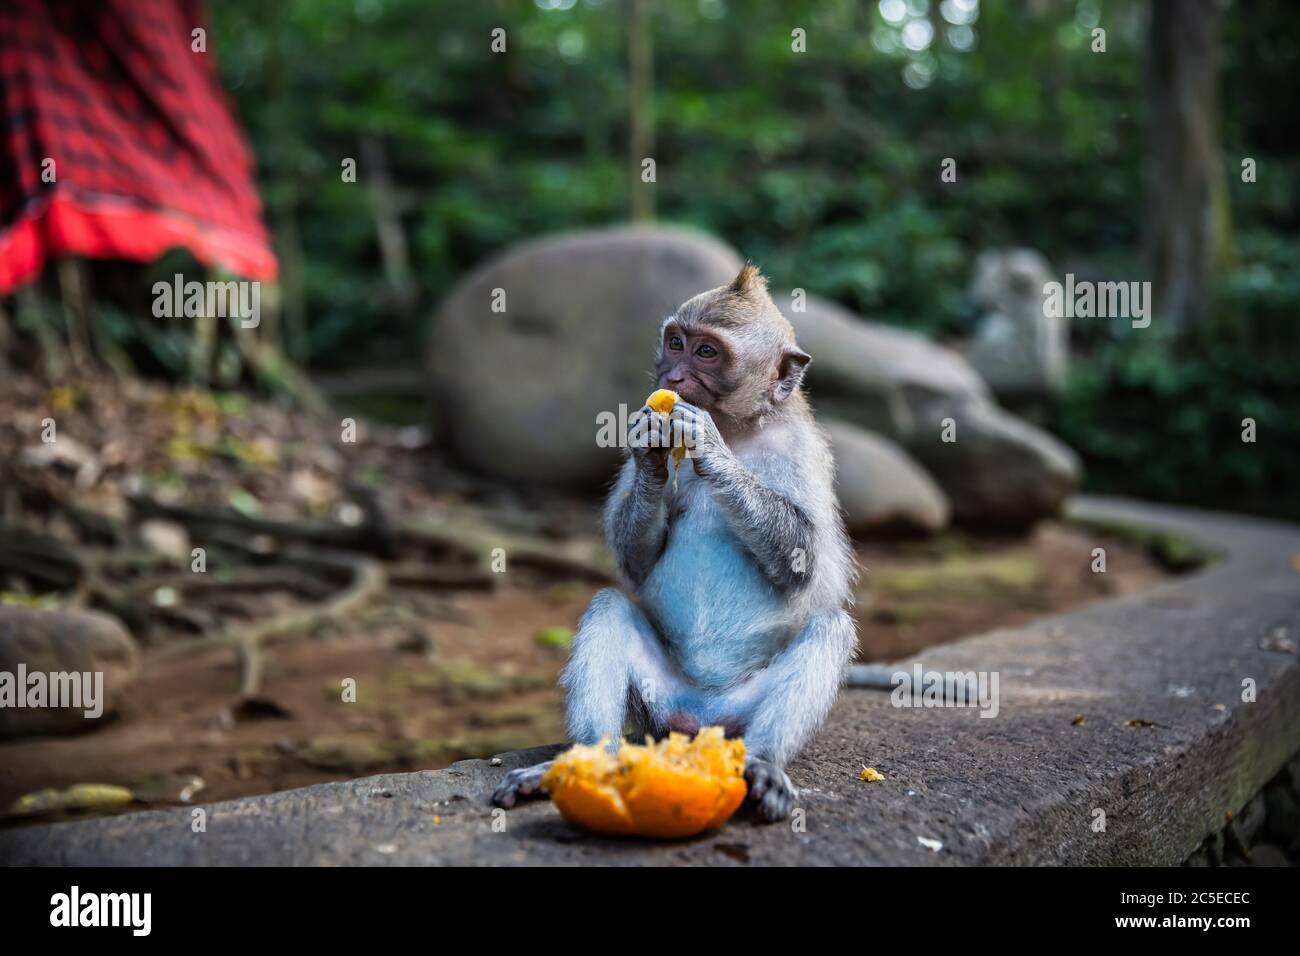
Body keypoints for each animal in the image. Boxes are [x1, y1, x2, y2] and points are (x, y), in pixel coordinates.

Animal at [492, 263, 857, 822]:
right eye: (676, 342)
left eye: (706, 352)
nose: (673, 378)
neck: (738, 428)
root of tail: (698, 719)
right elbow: (636, 562)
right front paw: (650, 453)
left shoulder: (802, 451)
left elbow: (805, 564)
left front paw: (712, 453)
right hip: (657, 706)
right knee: (609, 606)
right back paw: (585, 757)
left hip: (739, 715)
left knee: (830, 628)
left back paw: (765, 763)